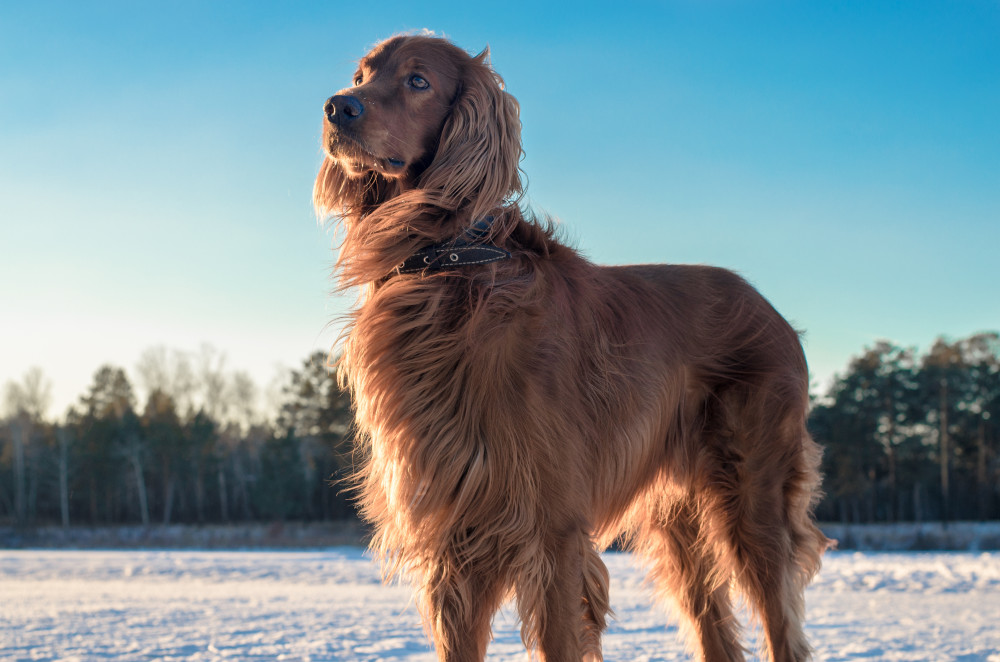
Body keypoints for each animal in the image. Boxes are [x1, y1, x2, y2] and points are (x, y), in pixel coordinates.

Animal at [312, 33, 828, 660]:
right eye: (362, 75)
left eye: (418, 81)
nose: (337, 107)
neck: (451, 267)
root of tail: (774, 312)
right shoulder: (453, 541)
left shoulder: (550, 532)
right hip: (679, 524)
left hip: (754, 502)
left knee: (782, 625)